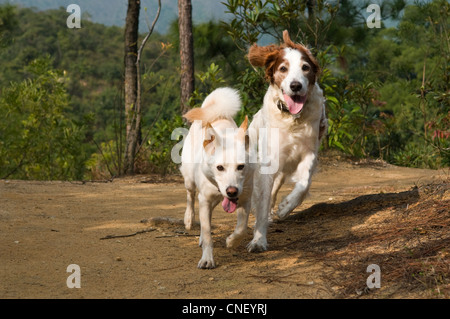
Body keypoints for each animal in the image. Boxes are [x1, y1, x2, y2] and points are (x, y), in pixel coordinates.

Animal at [181, 87, 255, 268]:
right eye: (220, 168)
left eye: (241, 167)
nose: (231, 191)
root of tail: (217, 113)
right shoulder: (205, 199)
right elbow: (208, 235)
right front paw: (207, 259)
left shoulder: (245, 199)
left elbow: (242, 228)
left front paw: (231, 241)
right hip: (190, 181)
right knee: (190, 197)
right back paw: (188, 219)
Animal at [246, 31, 326, 254]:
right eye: (283, 69)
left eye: (305, 67)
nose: (295, 85)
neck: (292, 118)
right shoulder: (268, 162)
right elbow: (263, 202)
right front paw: (258, 240)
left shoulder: (309, 152)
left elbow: (304, 183)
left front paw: (286, 207)